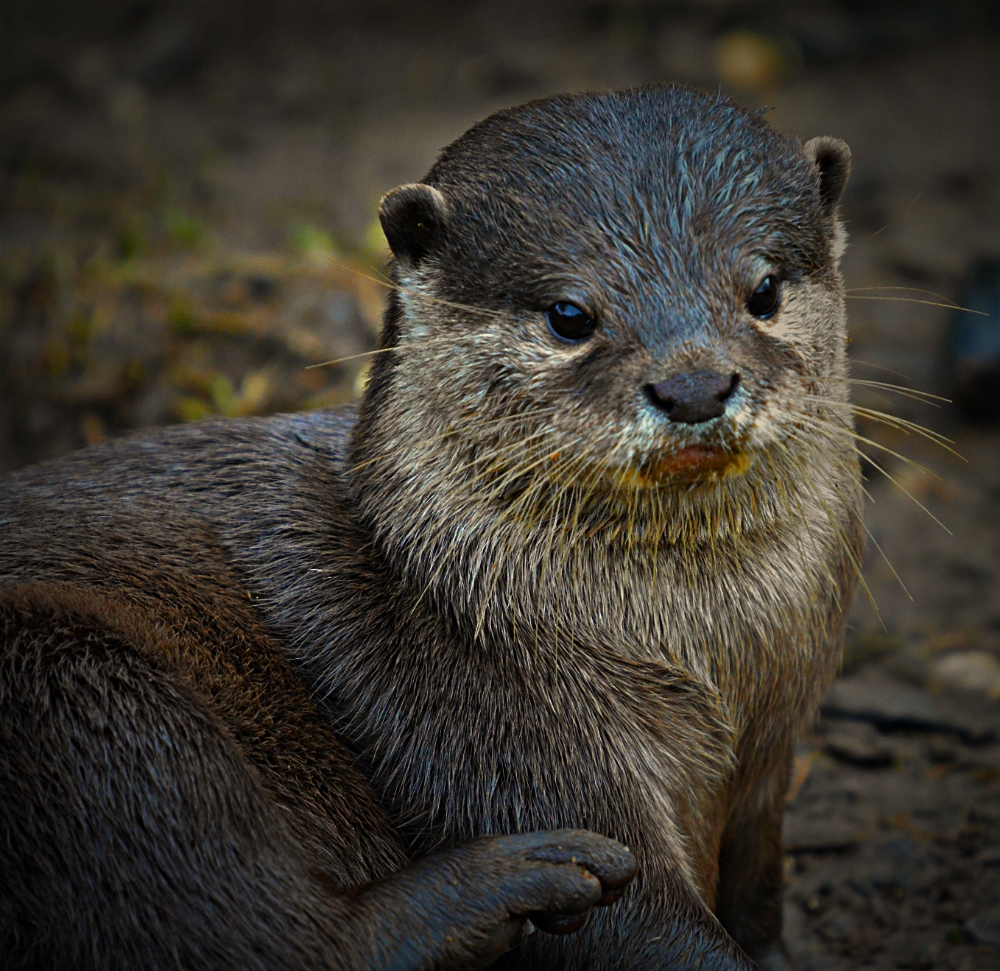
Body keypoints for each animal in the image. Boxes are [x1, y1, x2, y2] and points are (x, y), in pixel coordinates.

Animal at [0, 86, 861, 970]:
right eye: (569, 314)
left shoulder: (769, 765)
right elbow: (640, 925)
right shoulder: (489, 722)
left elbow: (757, 883)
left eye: (763, 290)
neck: (707, 655)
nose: (694, 384)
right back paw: (523, 878)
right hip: (77, 683)